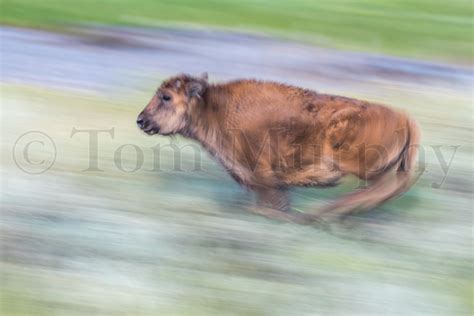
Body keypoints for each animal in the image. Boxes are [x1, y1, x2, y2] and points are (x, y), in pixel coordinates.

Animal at [136, 73, 418, 223]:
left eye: (166, 97)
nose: (141, 120)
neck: (216, 108)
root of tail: (404, 117)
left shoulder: (264, 178)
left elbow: (271, 203)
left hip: (360, 166)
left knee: (380, 188)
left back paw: (323, 213)